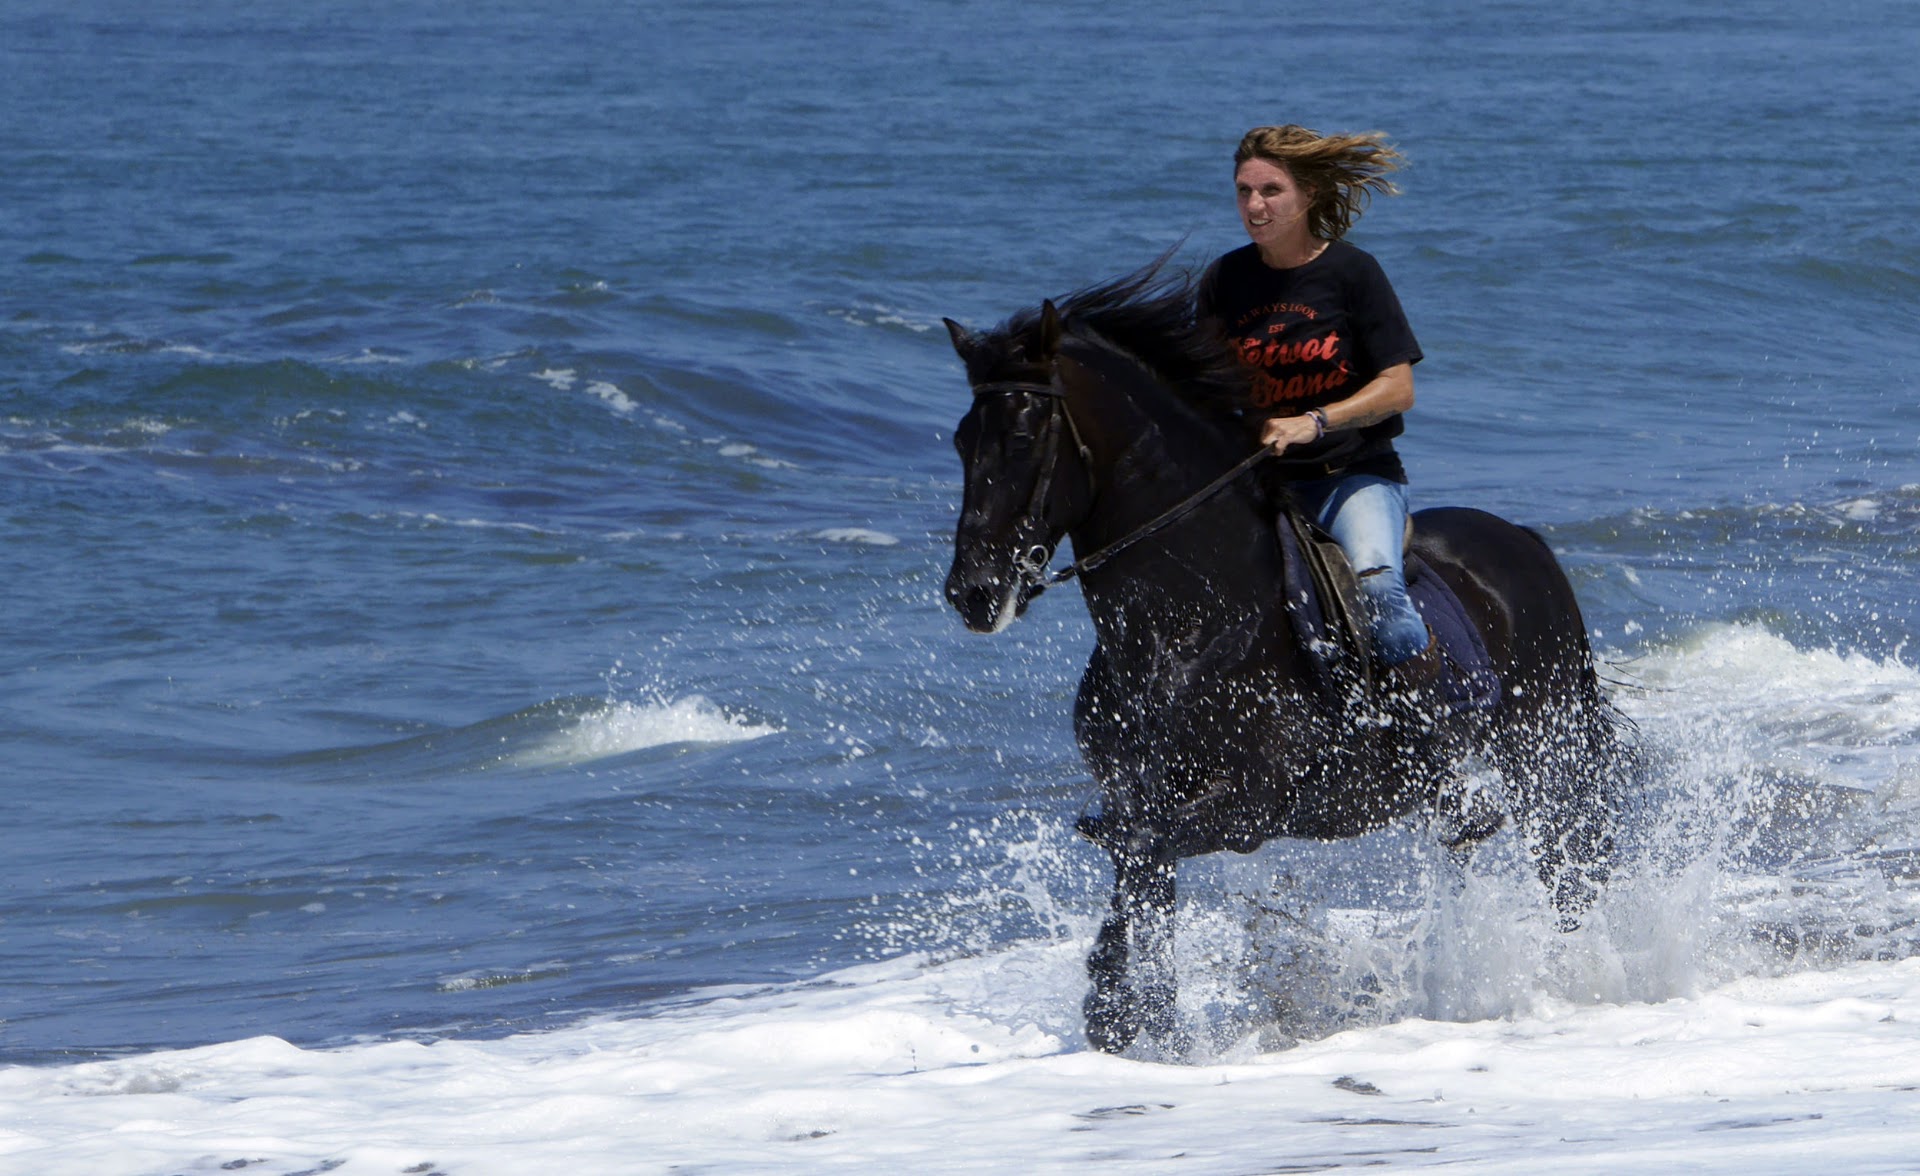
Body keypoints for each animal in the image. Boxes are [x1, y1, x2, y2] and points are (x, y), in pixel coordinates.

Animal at [941, 262, 1627, 1054]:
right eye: (962, 440)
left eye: (1025, 436)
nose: (972, 593)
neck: (1190, 623)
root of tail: (1525, 542)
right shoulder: (1139, 792)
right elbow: (1138, 874)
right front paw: (1135, 1020)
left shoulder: (1250, 807)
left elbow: (1139, 852)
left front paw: (1121, 1010)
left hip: (1547, 753)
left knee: (1573, 867)